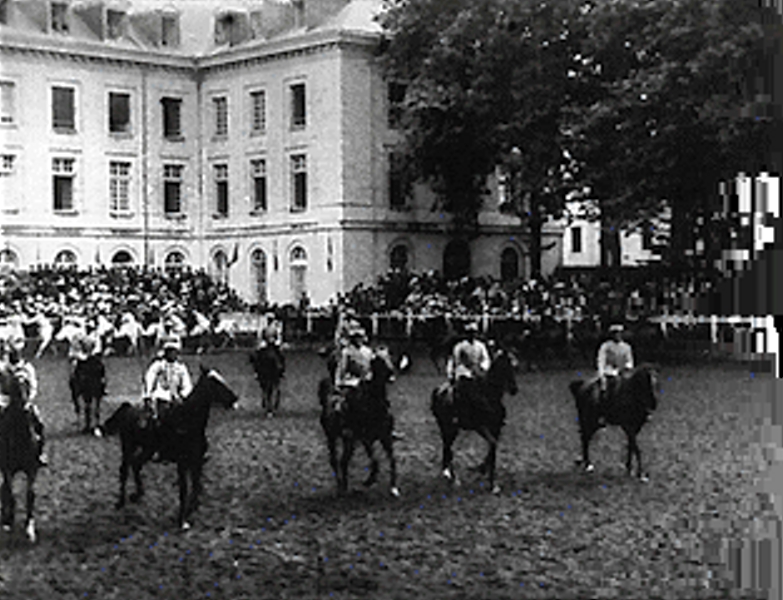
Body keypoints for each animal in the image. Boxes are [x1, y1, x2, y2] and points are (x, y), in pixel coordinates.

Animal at [100, 366, 239, 529]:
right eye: (214, 382)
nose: (234, 398)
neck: (187, 422)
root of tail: (128, 408)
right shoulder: (182, 463)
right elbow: (184, 490)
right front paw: (182, 520)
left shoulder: (196, 462)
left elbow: (196, 487)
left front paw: (191, 510)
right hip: (128, 446)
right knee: (124, 470)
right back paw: (121, 502)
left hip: (147, 450)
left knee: (136, 464)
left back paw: (138, 494)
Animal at [318, 351, 399, 497]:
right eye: (378, 360)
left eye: (389, 357)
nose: (391, 373)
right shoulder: (365, 439)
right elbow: (375, 460)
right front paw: (369, 480)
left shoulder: (384, 437)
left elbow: (390, 459)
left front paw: (393, 487)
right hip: (334, 437)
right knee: (337, 461)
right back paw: (341, 486)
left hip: (346, 440)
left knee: (342, 461)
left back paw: (343, 486)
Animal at [430, 348, 518, 494]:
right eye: (505, 367)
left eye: (514, 367)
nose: (514, 389)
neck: (488, 395)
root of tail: (438, 390)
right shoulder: (480, 427)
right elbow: (492, 445)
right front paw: (491, 482)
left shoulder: (496, 428)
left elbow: (493, 448)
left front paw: (486, 474)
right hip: (448, 428)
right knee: (448, 449)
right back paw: (453, 478)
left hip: (449, 429)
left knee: (447, 448)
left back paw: (448, 474)